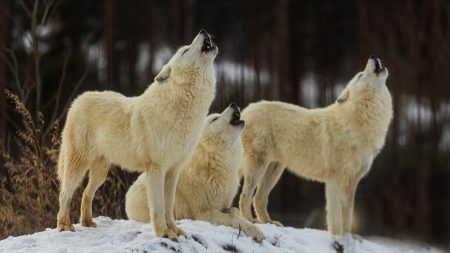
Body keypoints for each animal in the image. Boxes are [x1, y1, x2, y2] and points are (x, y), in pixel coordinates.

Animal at [56, 30, 218, 239]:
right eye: (185, 50)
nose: (203, 31)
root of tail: (77, 100)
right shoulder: (156, 169)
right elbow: (158, 207)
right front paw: (163, 233)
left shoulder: (173, 171)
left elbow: (169, 207)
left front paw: (174, 230)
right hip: (78, 165)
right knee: (64, 194)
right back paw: (64, 226)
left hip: (101, 172)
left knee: (85, 194)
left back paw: (88, 223)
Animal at [239, 56, 394, 235]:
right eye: (360, 75)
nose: (373, 57)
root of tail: (244, 112)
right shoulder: (334, 180)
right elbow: (335, 218)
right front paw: (337, 236)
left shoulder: (352, 182)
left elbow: (348, 218)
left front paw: (348, 237)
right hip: (259, 166)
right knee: (245, 196)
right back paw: (251, 220)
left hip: (275, 169)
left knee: (258, 198)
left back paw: (270, 223)